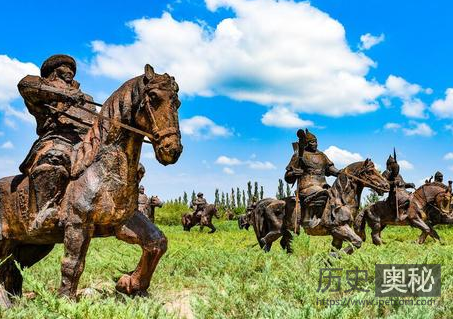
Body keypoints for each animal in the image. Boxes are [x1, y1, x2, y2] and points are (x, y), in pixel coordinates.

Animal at [0, 65, 184, 302]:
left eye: (177, 102)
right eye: (152, 97)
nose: (172, 149)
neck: (102, 171)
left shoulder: (122, 222)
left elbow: (156, 243)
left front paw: (130, 284)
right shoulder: (78, 225)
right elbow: (73, 264)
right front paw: (66, 301)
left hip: (32, 243)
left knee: (10, 269)